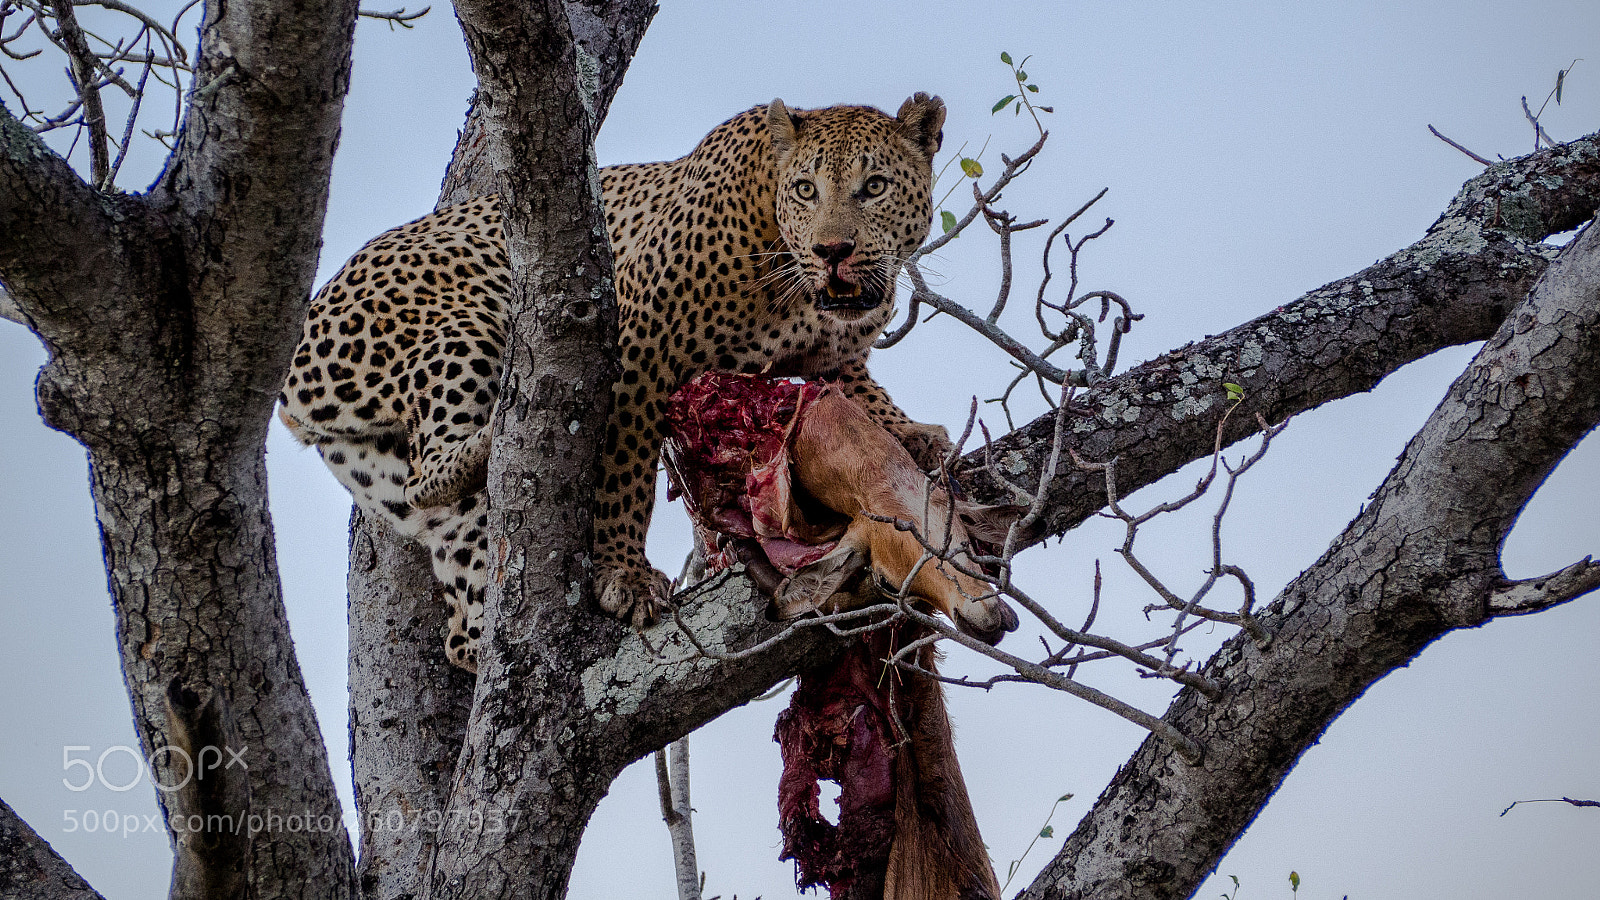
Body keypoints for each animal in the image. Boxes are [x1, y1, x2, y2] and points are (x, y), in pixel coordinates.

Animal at [279, 94, 954, 672]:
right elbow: (624, 469)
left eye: (874, 187)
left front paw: (910, 432)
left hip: (408, 490)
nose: (833, 249)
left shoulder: (839, 349)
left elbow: (859, 387)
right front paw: (623, 575)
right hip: (473, 311)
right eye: (806, 190)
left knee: (464, 620)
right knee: (431, 467)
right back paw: (501, 427)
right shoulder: (635, 338)